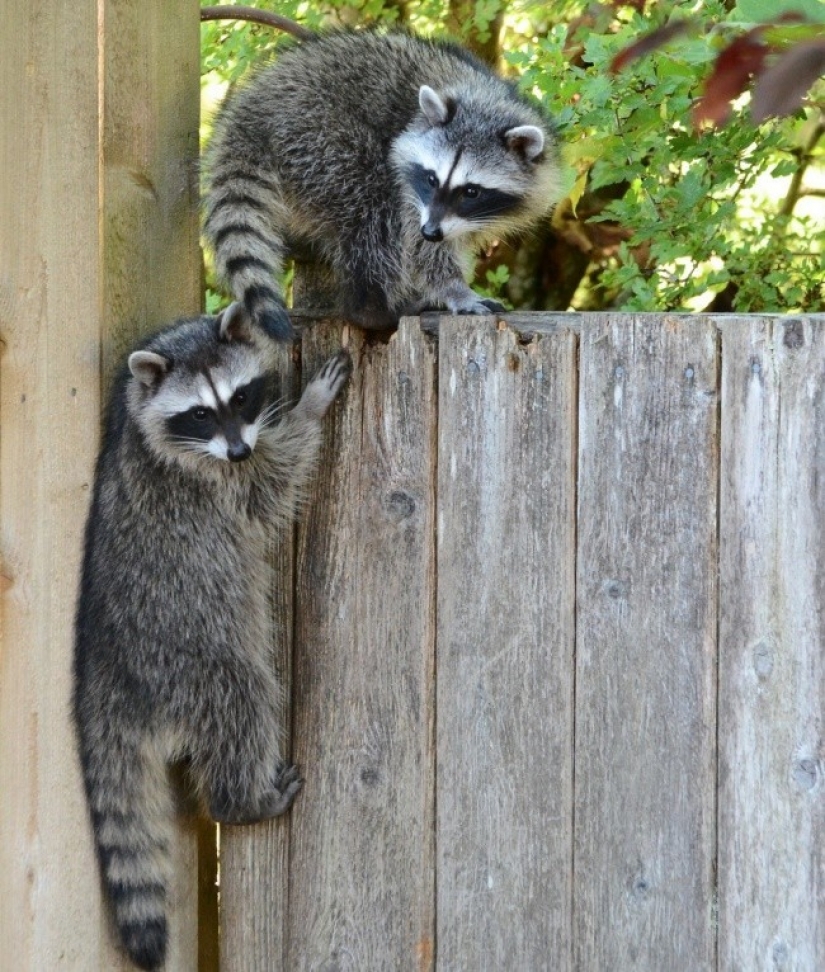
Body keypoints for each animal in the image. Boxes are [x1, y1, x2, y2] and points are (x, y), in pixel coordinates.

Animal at [73, 304, 350, 971]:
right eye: (199, 413)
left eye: (241, 396)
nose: (240, 447)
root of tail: (105, 671)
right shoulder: (209, 481)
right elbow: (268, 491)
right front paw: (310, 409)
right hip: (191, 661)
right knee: (242, 698)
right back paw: (241, 799)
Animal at [203, 30, 560, 337]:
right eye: (431, 179)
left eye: (472, 191)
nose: (431, 231)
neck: (483, 102)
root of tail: (250, 113)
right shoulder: (410, 191)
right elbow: (417, 243)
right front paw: (453, 288)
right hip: (318, 135)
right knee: (372, 208)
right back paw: (372, 308)